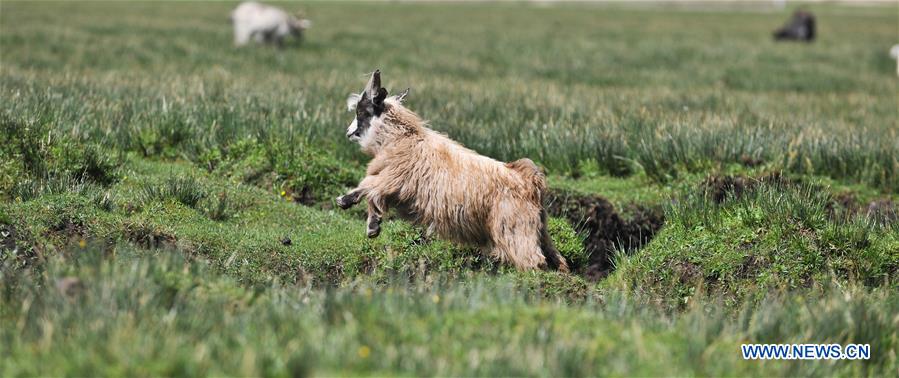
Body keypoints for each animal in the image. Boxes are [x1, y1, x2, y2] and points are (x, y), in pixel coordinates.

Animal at [338, 71, 568, 272]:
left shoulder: (395, 179)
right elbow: (373, 192)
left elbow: (369, 185)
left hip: (515, 227)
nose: (348, 133)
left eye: (362, 111)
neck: (400, 139)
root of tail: (528, 180)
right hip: (538, 227)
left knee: (533, 261)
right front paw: (373, 226)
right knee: (554, 256)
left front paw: (345, 201)